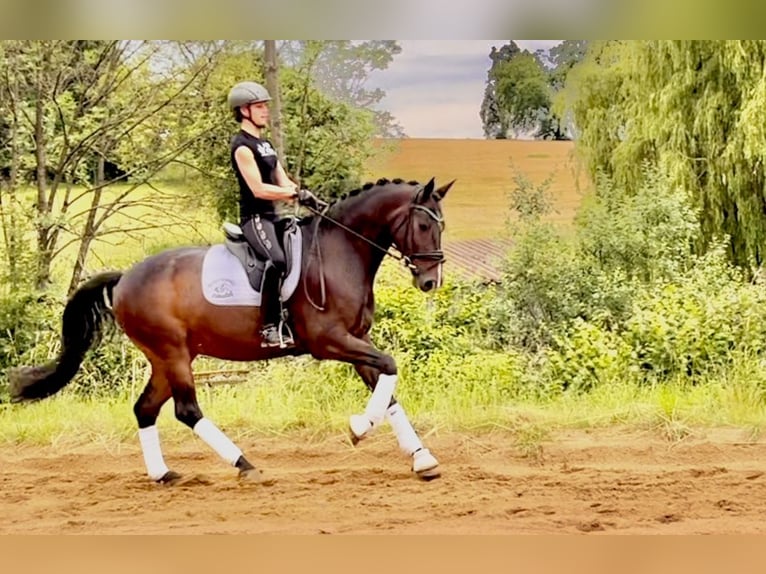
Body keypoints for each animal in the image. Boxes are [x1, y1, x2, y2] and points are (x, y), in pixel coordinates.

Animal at [9, 178, 452, 484]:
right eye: (423, 226)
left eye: (441, 226)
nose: (431, 281)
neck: (340, 251)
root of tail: (124, 279)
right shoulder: (330, 341)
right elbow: (390, 367)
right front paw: (359, 428)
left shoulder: (357, 340)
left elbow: (388, 388)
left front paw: (421, 458)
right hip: (172, 353)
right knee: (187, 410)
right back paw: (245, 464)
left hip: (168, 358)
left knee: (145, 409)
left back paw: (163, 474)